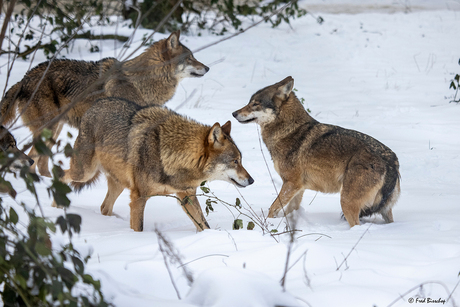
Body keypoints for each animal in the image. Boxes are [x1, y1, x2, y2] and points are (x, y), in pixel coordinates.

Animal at [0, 30, 209, 178]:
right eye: (190, 58)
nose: (207, 67)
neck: (141, 82)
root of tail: (24, 79)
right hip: (49, 128)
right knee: (33, 159)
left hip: (55, 130)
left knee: (41, 162)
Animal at [55, 97, 253, 232]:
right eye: (235, 161)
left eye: (241, 160)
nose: (252, 181)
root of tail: (95, 104)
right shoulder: (139, 197)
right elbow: (138, 228)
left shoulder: (186, 196)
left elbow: (204, 225)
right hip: (84, 173)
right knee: (61, 175)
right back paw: (56, 207)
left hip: (118, 183)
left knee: (104, 207)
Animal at [232, 76, 400, 229]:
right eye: (250, 102)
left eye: (255, 104)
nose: (233, 113)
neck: (289, 130)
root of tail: (391, 160)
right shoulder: (298, 188)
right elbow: (290, 210)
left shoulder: (291, 183)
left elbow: (273, 208)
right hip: (383, 210)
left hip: (346, 202)